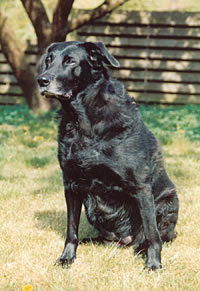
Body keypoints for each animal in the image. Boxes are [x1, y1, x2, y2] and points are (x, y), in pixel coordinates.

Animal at [37, 41, 178, 272]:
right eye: (48, 60)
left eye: (71, 61)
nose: (42, 80)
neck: (84, 119)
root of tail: (124, 240)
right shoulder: (71, 184)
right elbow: (71, 230)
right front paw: (67, 257)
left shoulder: (141, 187)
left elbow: (152, 233)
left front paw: (154, 264)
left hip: (167, 202)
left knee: (156, 235)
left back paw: (143, 251)